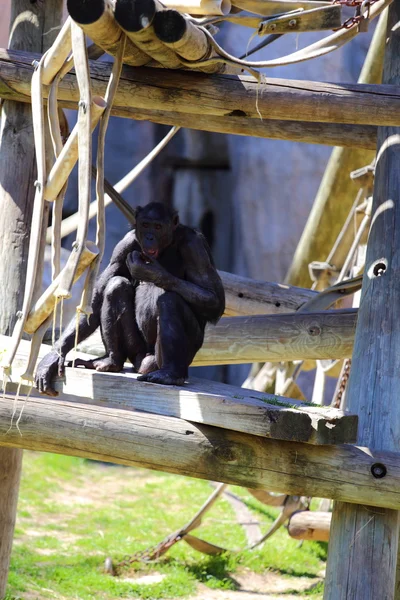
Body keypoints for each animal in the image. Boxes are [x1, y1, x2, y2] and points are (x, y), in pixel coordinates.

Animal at [34, 204, 225, 396]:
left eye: (158, 227)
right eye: (146, 225)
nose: (149, 237)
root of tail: (144, 363)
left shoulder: (195, 248)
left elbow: (214, 298)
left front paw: (152, 272)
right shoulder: (124, 245)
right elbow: (97, 298)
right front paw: (54, 357)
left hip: (179, 355)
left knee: (170, 301)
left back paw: (170, 374)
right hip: (135, 352)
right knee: (116, 285)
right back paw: (111, 361)